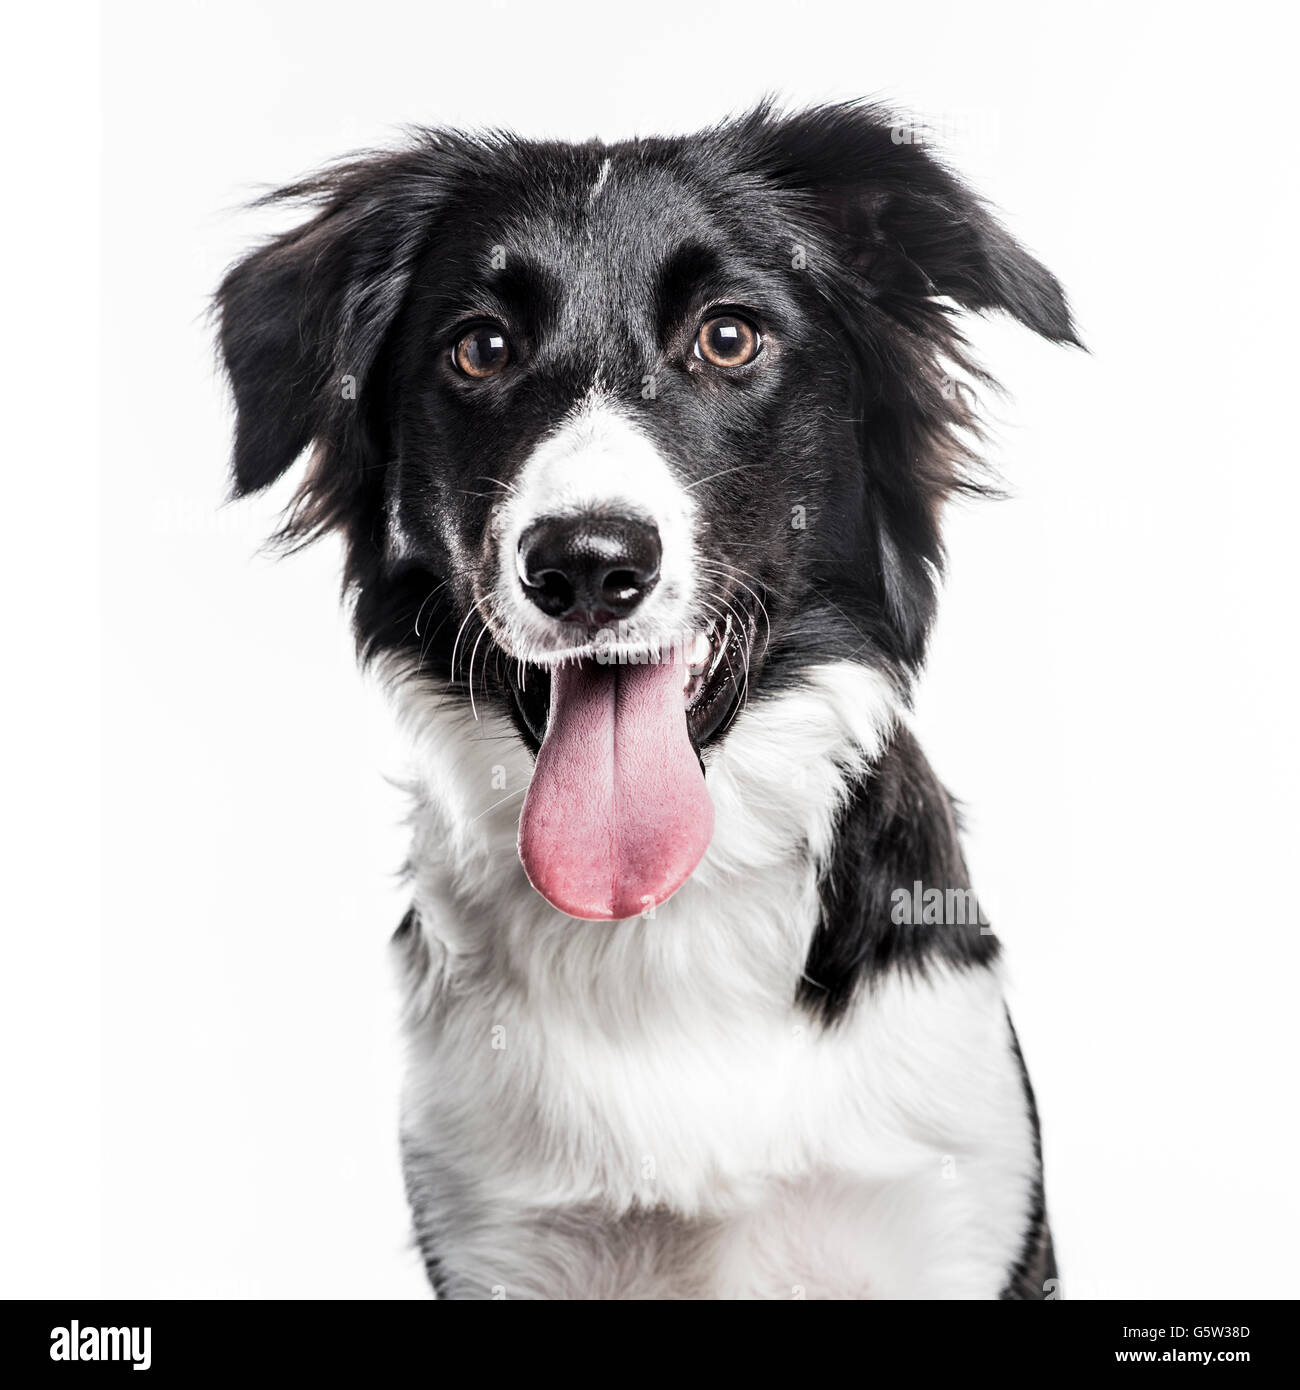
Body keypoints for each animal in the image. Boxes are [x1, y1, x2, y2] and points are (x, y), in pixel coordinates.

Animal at [215, 102, 1078, 1295]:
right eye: (479, 348)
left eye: (729, 338)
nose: (585, 565)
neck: (662, 924)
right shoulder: (499, 1237)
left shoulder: (949, 1211)